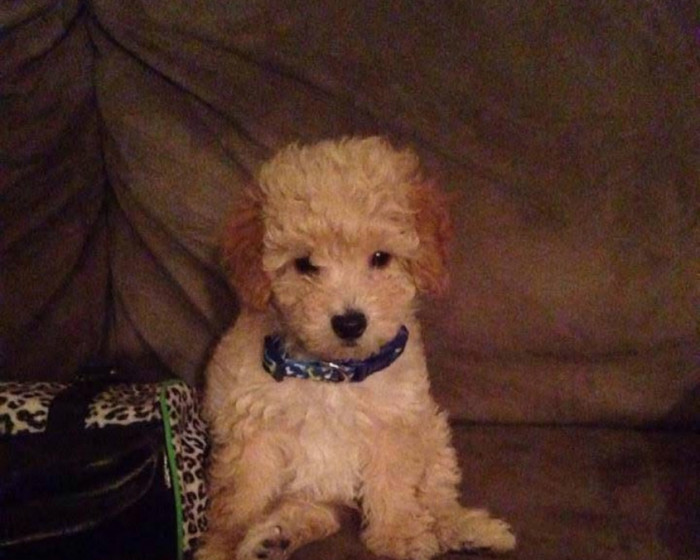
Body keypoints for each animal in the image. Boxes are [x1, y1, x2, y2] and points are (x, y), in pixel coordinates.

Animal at [198, 137, 515, 560]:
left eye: (380, 258)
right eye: (304, 264)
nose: (350, 322)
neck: (333, 372)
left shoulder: (395, 423)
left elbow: (393, 484)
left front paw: (399, 535)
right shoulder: (252, 429)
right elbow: (242, 497)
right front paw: (225, 543)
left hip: (432, 433)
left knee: (436, 499)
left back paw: (465, 529)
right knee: (313, 512)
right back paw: (273, 537)